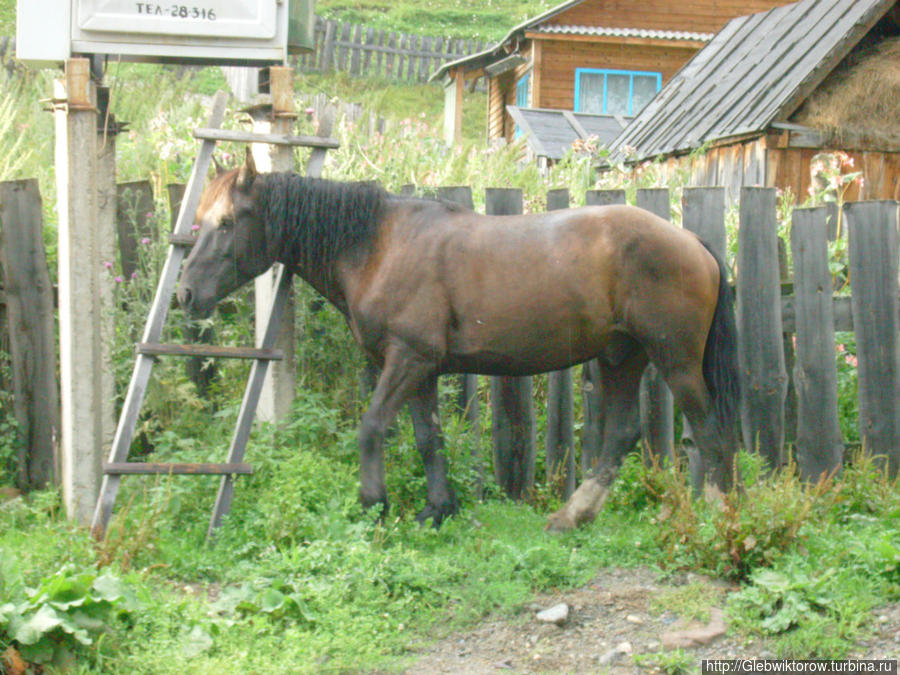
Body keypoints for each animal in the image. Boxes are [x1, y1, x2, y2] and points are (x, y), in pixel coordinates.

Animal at [178, 152, 740, 532]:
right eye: (200, 221)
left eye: (226, 223)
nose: (186, 294)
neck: (378, 246)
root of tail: (692, 242)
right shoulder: (420, 369)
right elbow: (428, 437)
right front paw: (438, 508)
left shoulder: (407, 359)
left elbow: (372, 426)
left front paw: (374, 503)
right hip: (620, 357)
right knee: (621, 434)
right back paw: (572, 515)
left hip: (675, 361)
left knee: (710, 432)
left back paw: (719, 517)